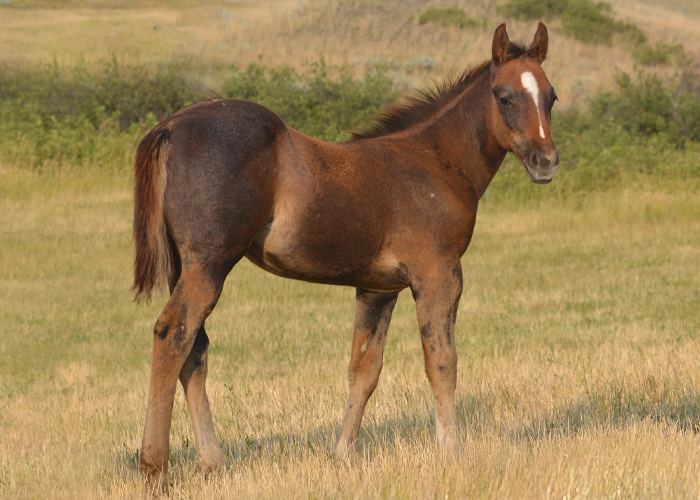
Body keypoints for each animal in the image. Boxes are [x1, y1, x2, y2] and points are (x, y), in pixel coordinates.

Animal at [131, 21, 556, 486]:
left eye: (551, 96)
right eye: (504, 96)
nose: (545, 161)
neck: (438, 163)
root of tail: (172, 125)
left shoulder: (377, 288)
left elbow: (364, 369)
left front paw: (343, 456)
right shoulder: (439, 275)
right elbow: (442, 362)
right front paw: (451, 452)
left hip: (186, 267)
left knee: (195, 349)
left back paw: (212, 462)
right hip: (209, 265)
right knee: (173, 335)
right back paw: (154, 468)